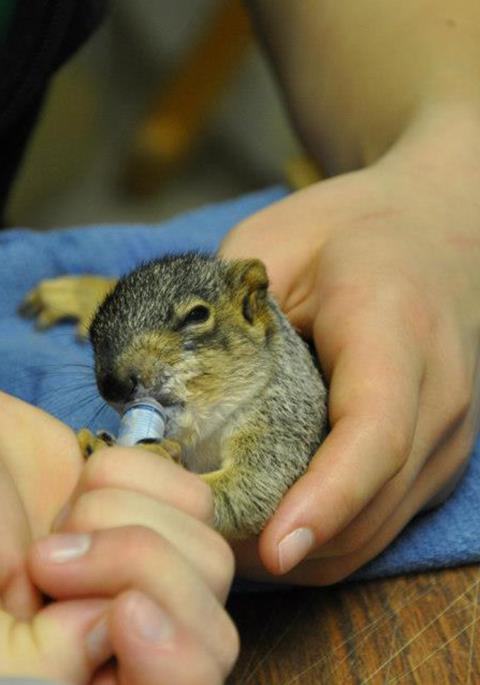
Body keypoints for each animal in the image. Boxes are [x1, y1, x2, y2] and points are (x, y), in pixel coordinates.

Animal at [20, 253, 328, 539]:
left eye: (197, 315)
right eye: (93, 331)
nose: (112, 384)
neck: (205, 433)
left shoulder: (284, 421)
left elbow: (251, 491)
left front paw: (157, 459)